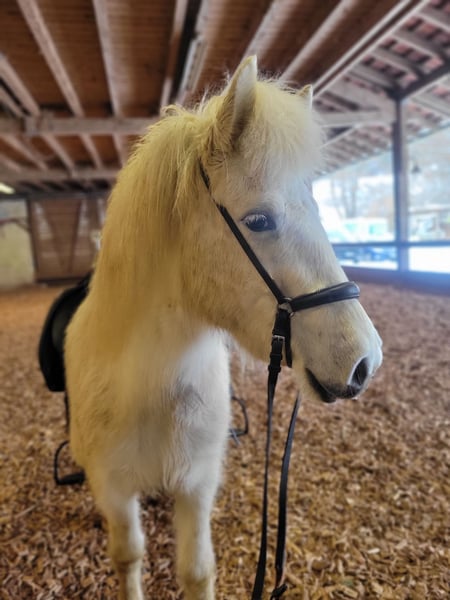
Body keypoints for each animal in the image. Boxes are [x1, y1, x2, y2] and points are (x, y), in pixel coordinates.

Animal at [65, 55, 382, 600]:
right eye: (257, 221)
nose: (365, 361)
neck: (149, 386)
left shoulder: (196, 484)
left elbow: (196, 571)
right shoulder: (113, 488)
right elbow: (128, 557)